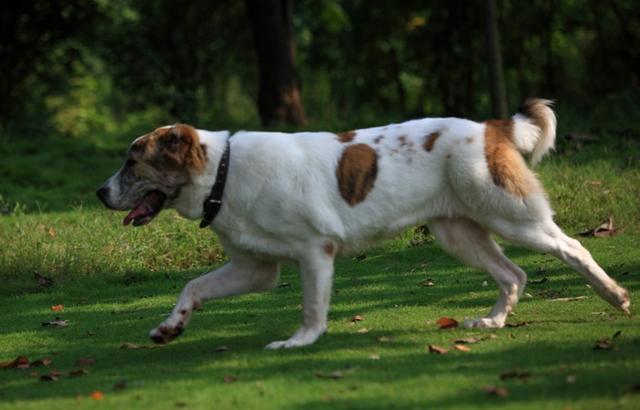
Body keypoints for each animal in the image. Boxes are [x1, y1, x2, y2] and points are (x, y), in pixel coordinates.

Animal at [96, 99, 632, 350]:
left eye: (132, 162)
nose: (99, 192)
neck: (223, 170)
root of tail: (488, 127)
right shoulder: (255, 269)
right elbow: (193, 287)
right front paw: (170, 327)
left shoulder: (315, 253)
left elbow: (312, 308)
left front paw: (299, 342)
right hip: (459, 234)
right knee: (513, 274)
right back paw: (494, 321)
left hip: (512, 216)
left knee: (572, 247)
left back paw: (615, 296)